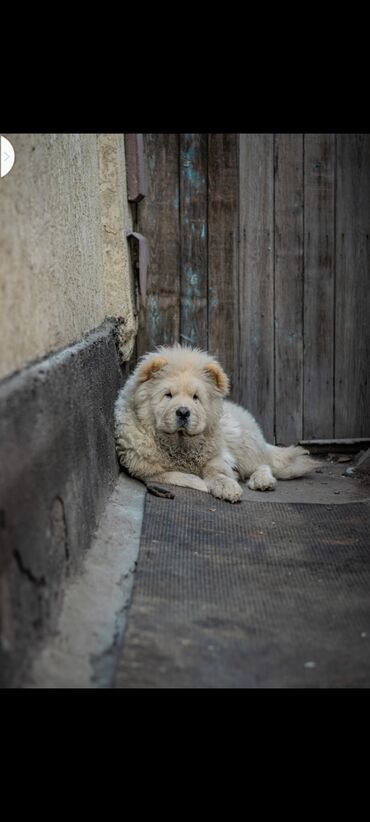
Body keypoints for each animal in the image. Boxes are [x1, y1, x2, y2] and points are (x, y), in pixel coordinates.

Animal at [114, 342, 316, 502]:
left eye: (195, 397)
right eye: (168, 395)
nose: (183, 412)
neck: (179, 445)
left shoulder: (216, 458)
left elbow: (218, 472)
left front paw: (228, 486)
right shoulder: (145, 470)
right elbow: (176, 476)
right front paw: (201, 483)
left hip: (240, 440)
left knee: (262, 464)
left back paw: (262, 481)